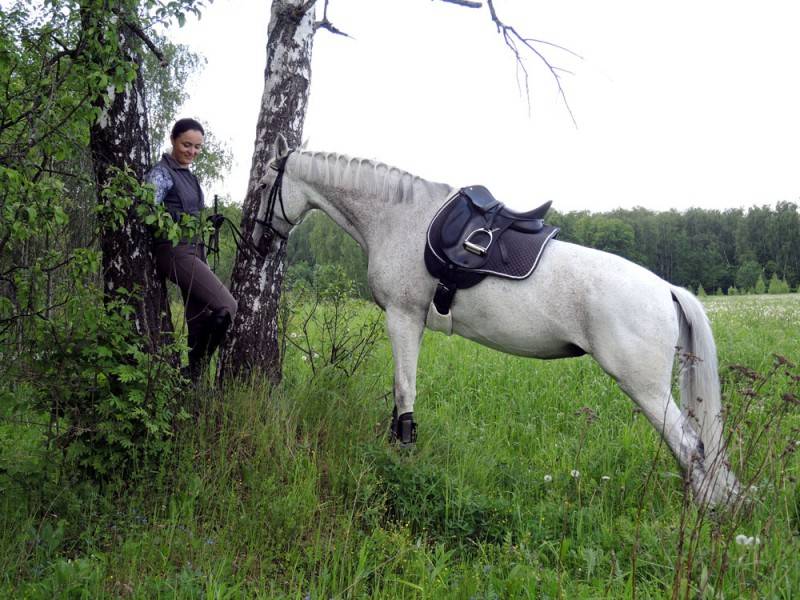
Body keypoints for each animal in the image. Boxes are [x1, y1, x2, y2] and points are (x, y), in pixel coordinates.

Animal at [253, 137, 740, 506]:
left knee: (690, 447)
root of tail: (667, 289)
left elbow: (404, 389)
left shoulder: (402, 317)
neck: (400, 220)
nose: (258, 241)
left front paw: (402, 451)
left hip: (645, 388)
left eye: (264, 183)